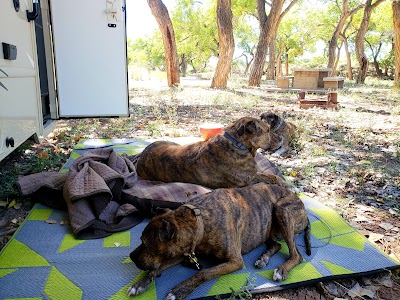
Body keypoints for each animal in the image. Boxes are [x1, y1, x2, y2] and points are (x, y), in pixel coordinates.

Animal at [130, 182, 310, 298]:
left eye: (145, 243)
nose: (131, 257)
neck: (201, 221)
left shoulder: (235, 261)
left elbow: (203, 273)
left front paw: (180, 290)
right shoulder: (183, 251)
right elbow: (158, 267)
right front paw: (140, 283)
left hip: (281, 210)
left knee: (297, 255)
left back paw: (282, 269)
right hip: (263, 229)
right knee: (276, 245)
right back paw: (263, 258)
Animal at [136, 116, 286, 189]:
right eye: (267, 130)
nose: (281, 138)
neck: (238, 143)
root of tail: (142, 154)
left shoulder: (253, 174)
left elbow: (271, 176)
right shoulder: (246, 181)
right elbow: (270, 179)